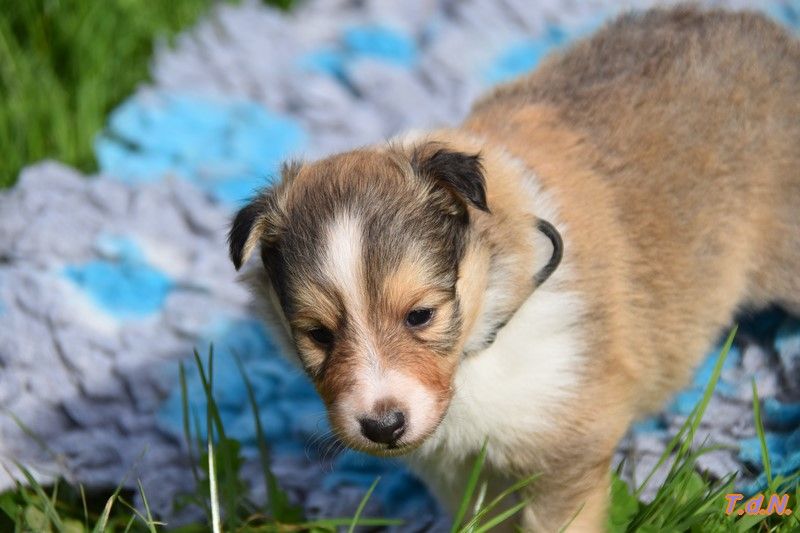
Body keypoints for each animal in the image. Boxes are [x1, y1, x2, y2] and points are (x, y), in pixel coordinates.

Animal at [227, 6, 800, 528]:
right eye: (319, 335)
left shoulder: (567, 448)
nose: (383, 426)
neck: (482, 338)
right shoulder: (458, 471)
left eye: (420, 315)